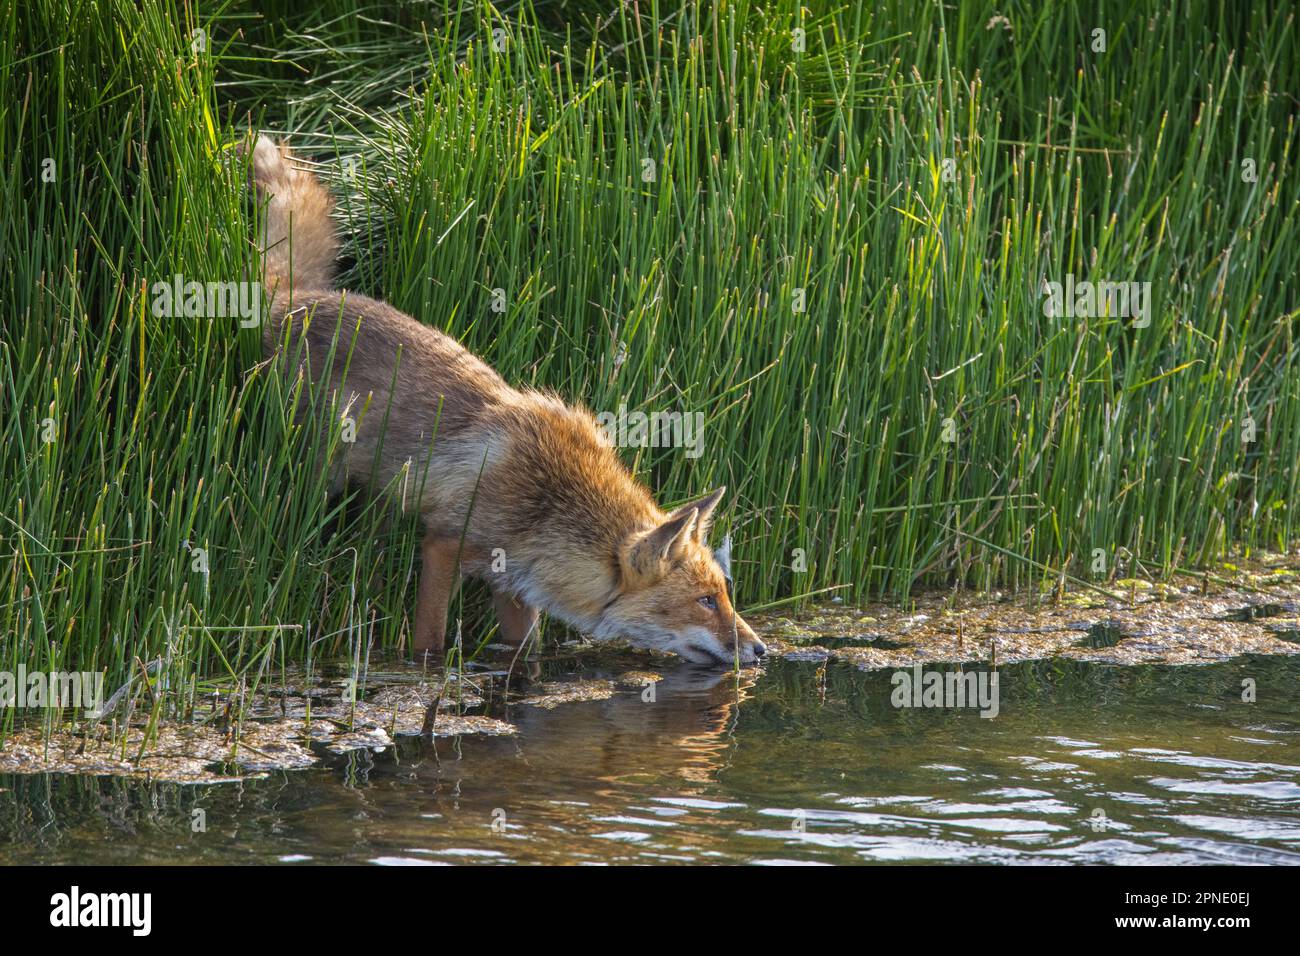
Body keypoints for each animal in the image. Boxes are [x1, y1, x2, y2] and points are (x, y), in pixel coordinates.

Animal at [248, 136, 764, 665]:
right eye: (705, 601)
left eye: (726, 594)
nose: (762, 649)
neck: (549, 502)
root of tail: (295, 299)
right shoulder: (445, 545)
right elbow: (430, 639)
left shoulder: (516, 583)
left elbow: (523, 652)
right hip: (319, 475)